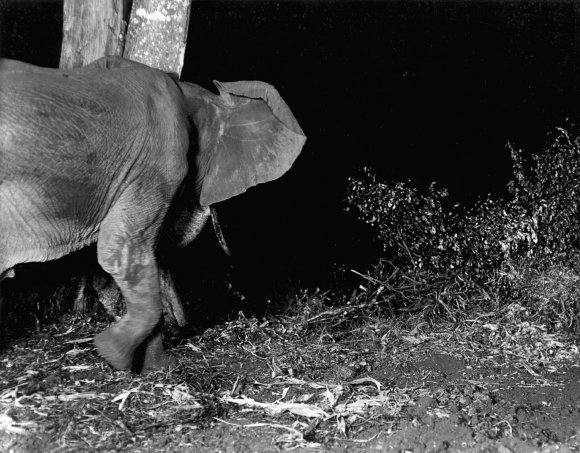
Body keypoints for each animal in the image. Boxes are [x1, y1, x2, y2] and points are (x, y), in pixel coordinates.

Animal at [0, 55, 308, 370]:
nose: (188, 326)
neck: (192, 93)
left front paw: (158, 367)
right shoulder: (159, 161)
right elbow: (121, 249)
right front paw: (112, 353)